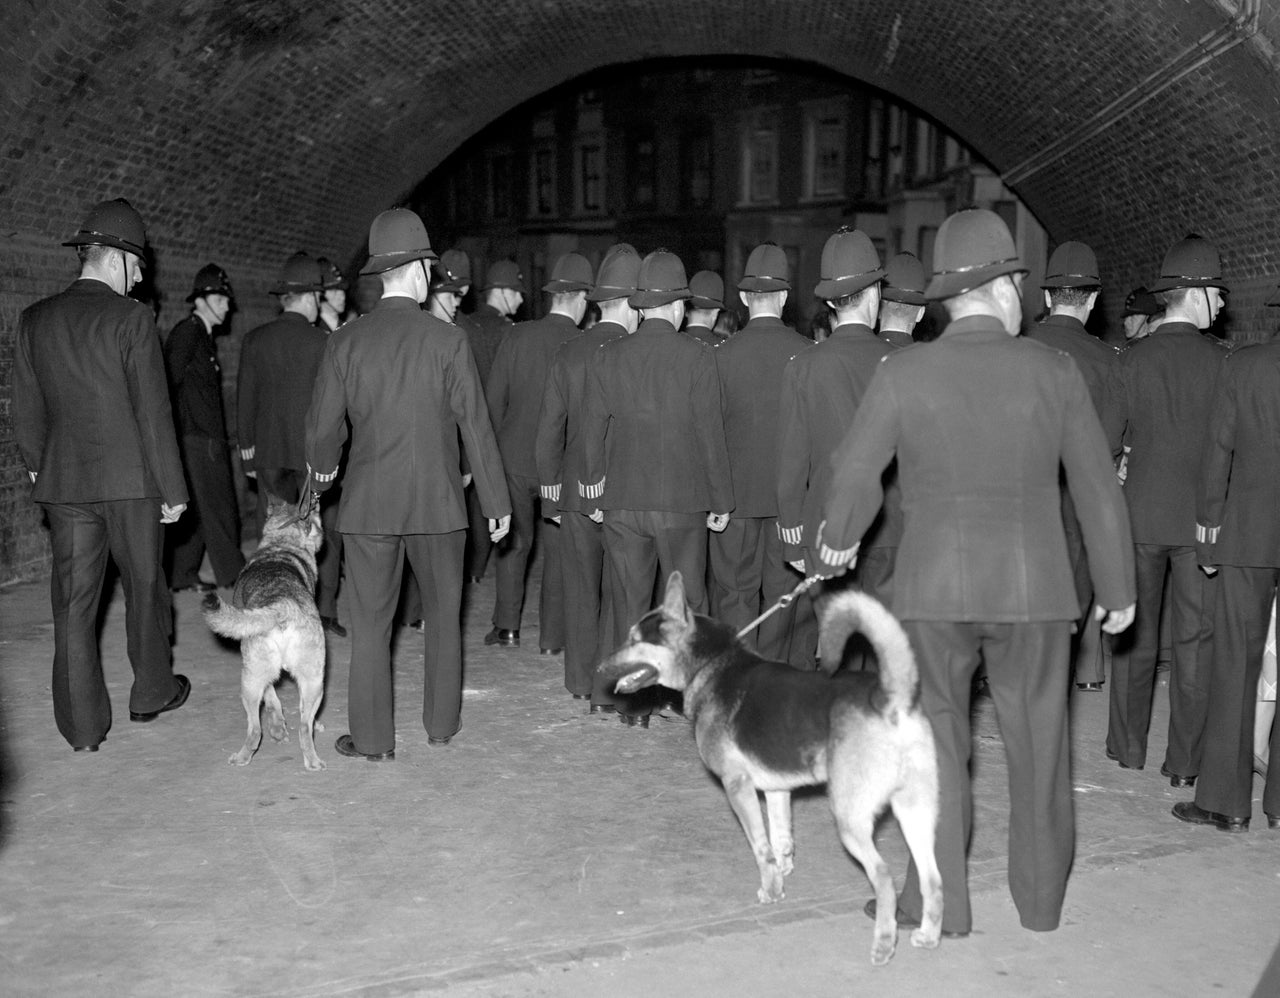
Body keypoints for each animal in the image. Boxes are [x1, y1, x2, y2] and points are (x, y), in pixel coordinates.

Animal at [203, 491, 325, 772]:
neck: (282, 544)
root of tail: (283, 605)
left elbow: (271, 699)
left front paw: (278, 727)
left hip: (250, 680)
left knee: (255, 729)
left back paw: (243, 756)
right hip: (314, 680)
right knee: (304, 726)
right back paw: (313, 761)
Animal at [599, 573, 942, 962]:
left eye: (634, 640)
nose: (599, 667)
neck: (712, 664)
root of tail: (892, 699)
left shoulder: (738, 785)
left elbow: (761, 847)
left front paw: (770, 890)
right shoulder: (778, 790)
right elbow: (781, 840)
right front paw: (781, 878)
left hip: (851, 817)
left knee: (884, 877)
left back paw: (883, 946)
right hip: (915, 812)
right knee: (933, 879)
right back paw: (929, 935)